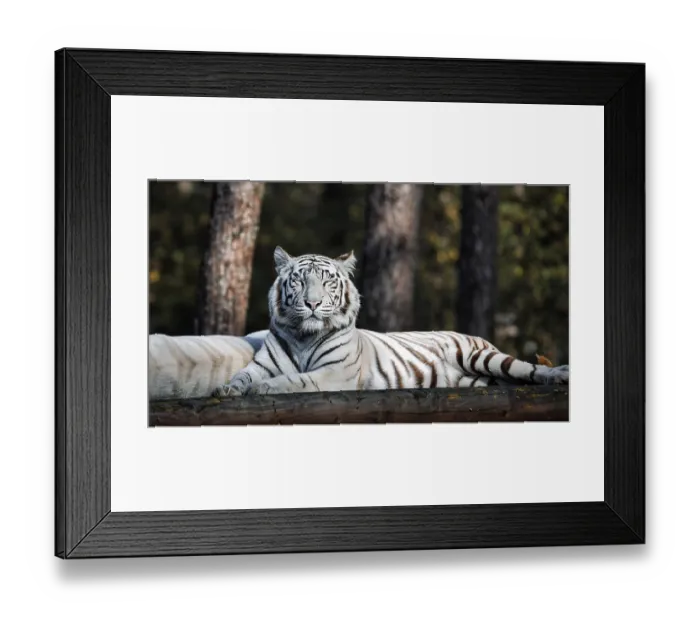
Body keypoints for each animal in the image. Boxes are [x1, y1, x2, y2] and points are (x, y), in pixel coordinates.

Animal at [214, 247, 569, 397]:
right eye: (299, 281)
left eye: (327, 282)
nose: (312, 303)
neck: (304, 336)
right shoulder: (261, 365)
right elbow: (243, 376)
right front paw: (227, 388)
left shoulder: (334, 373)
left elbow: (296, 380)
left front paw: (263, 388)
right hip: (474, 380)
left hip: (482, 356)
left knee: (529, 370)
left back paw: (559, 375)